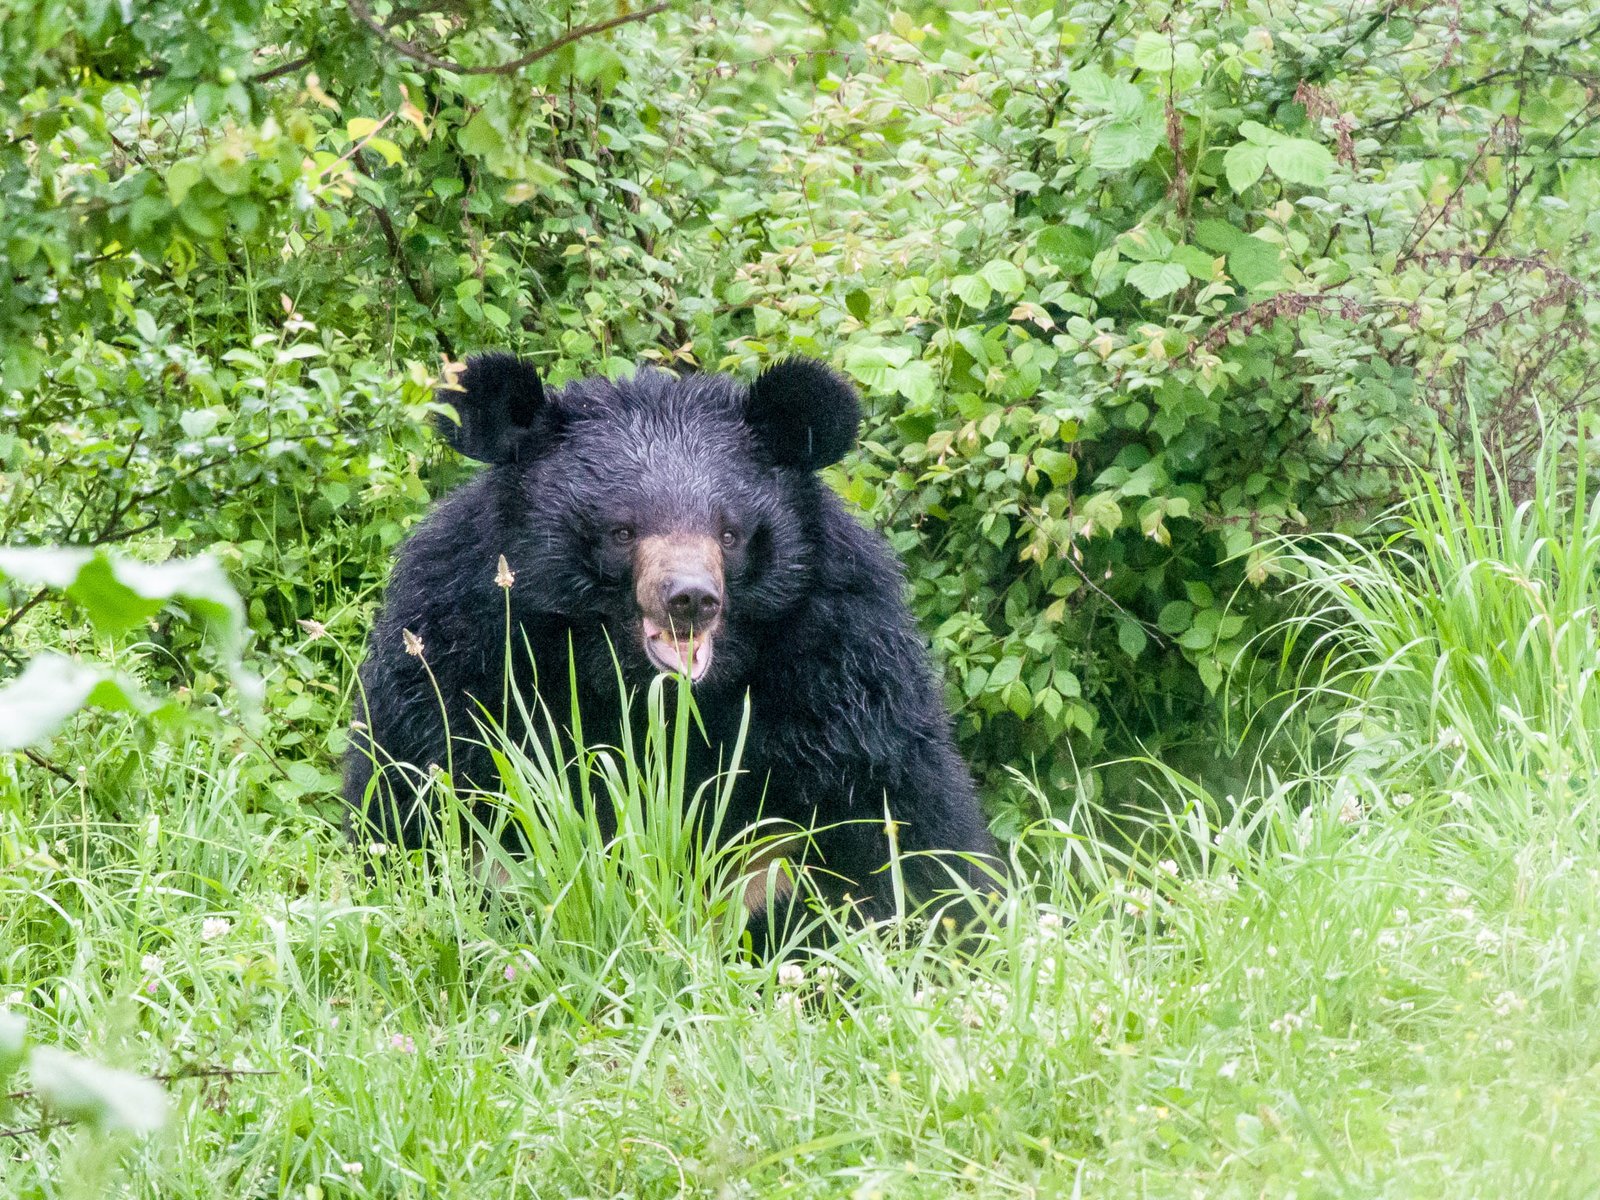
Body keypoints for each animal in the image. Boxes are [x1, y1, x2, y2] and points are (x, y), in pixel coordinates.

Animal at [344, 352, 998, 940]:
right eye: (621, 530)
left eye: (730, 533)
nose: (690, 597)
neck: (645, 691)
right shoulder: (464, 642)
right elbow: (421, 789)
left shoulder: (841, 663)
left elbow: (898, 822)